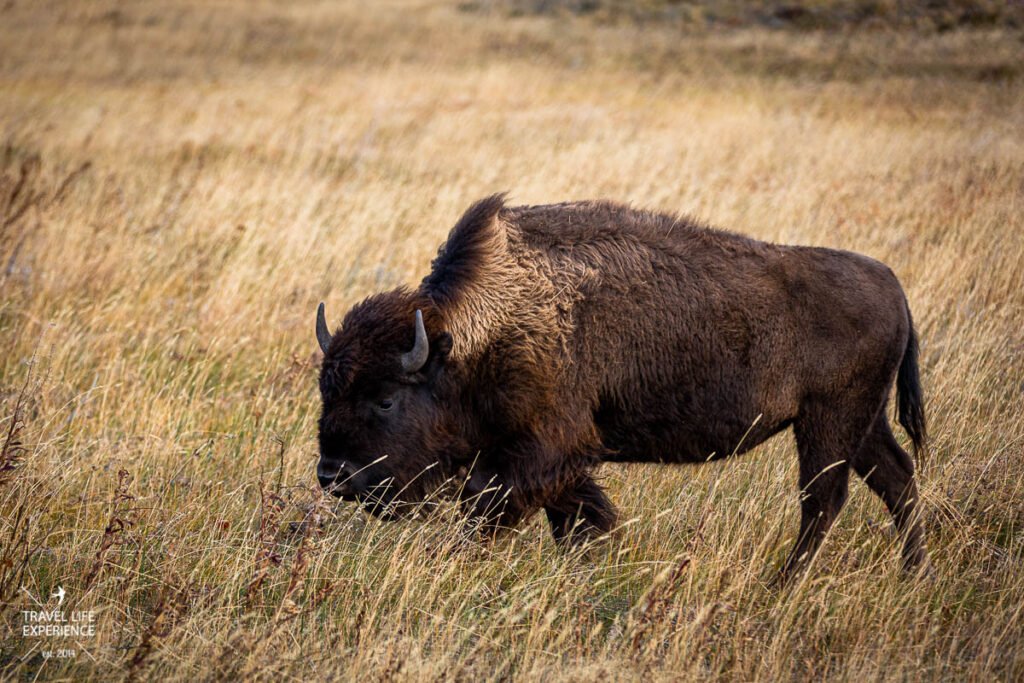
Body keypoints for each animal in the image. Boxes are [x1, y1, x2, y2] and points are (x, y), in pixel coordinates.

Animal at [313, 194, 929, 581]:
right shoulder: (557, 462)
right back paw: (912, 573)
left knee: (823, 500)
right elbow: (581, 516)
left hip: (828, 424)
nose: (332, 474)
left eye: (385, 398)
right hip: (860, 423)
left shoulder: (541, 451)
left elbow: (495, 507)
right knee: (896, 479)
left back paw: (782, 585)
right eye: (327, 390)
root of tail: (893, 285)